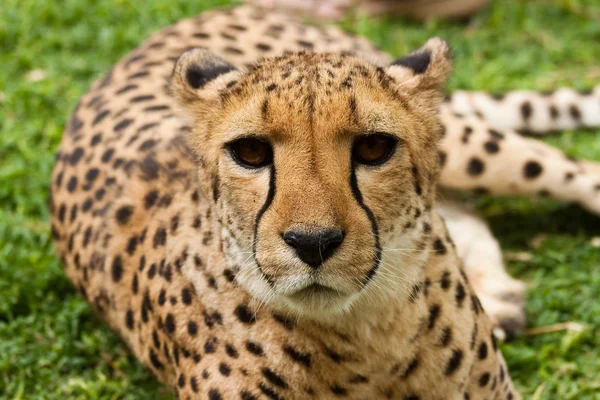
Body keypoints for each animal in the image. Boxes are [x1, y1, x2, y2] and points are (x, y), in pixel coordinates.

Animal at [50, 3, 600, 400]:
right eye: (250, 152)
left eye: (374, 147)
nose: (312, 243)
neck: (368, 332)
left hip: (468, 148)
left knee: (576, 172)